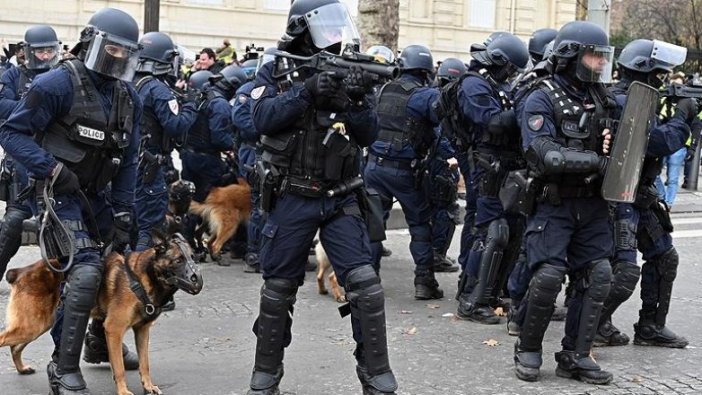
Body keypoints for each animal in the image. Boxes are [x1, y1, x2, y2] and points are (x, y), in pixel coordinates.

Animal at [0, 229, 204, 395]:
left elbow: (145, 363)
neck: (141, 279)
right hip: (32, 325)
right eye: (178, 260)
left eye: (193, 257)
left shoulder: (142, 331)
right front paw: (123, 391)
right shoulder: (114, 330)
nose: (198, 281)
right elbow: (119, 368)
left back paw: (22, 368)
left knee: (15, 347)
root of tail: (21, 271)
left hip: (38, 325)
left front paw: (148, 386)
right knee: (5, 340)